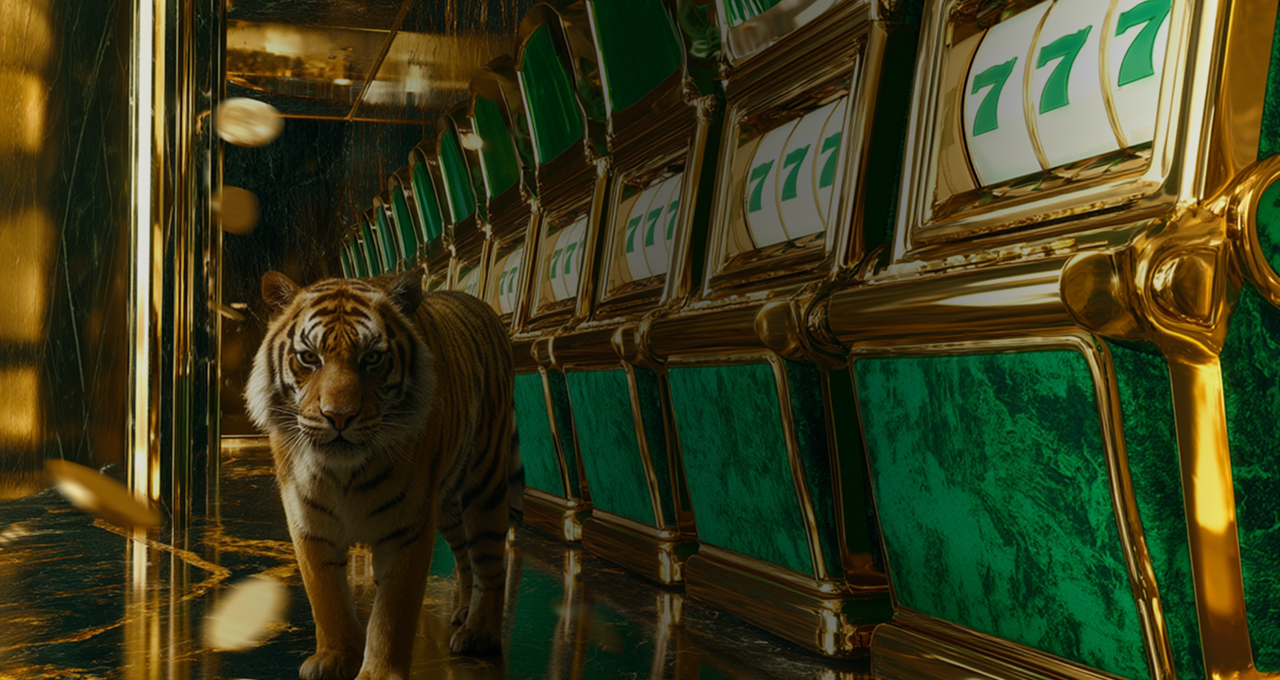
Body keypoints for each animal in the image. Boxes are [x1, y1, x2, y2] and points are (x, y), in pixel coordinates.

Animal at [244, 268, 523, 680]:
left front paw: (377, 672)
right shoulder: (308, 521)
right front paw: (335, 656)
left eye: (372, 358)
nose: (339, 416)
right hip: (448, 504)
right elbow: (326, 595)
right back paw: (461, 610)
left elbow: (393, 611)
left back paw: (479, 633)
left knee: (488, 560)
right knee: (463, 554)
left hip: (484, 483)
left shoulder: (407, 528)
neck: (340, 472)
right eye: (309, 357)